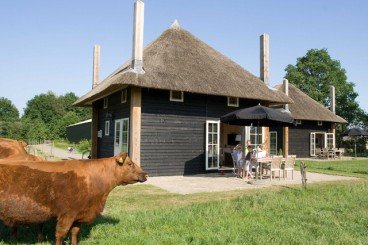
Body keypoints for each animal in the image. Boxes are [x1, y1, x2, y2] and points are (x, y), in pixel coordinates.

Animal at [0, 152, 147, 244]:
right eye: (130, 164)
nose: (145, 174)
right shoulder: (67, 214)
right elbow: (61, 235)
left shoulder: (78, 214)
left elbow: (75, 233)